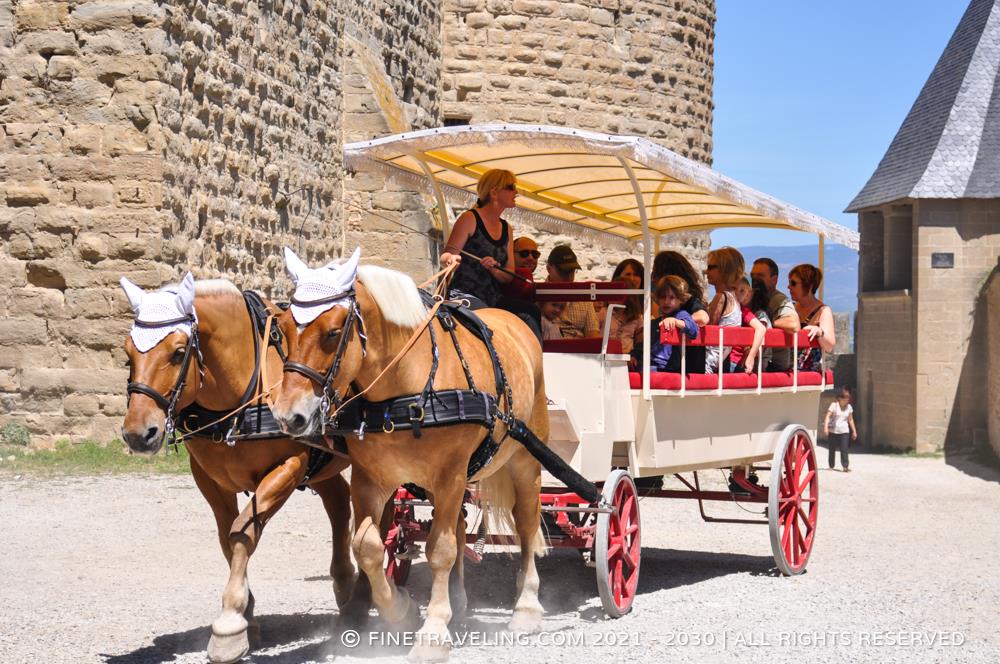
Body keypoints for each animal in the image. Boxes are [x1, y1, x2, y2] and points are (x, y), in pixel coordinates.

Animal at [119, 274, 358, 664]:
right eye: (128, 353)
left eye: (179, 352)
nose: (138, 433)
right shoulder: (209, 480)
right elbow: (226, 539)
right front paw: (248, 614)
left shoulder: (288, 468)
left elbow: (242, 534)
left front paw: (230, 623)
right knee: (339, 503)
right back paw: (346, 584)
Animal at [274, 250, 552, 664]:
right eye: (282, 330)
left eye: (333, 332)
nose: (289, 416)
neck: (403, 391)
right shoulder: (370, 479)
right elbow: (368, 546)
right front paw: (401, 612)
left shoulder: (451, 476)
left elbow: (440, 551)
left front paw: (433, 631)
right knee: (458, 527)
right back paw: (458, 602)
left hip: (524, 461)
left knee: (527, 524)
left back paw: (527, 606)